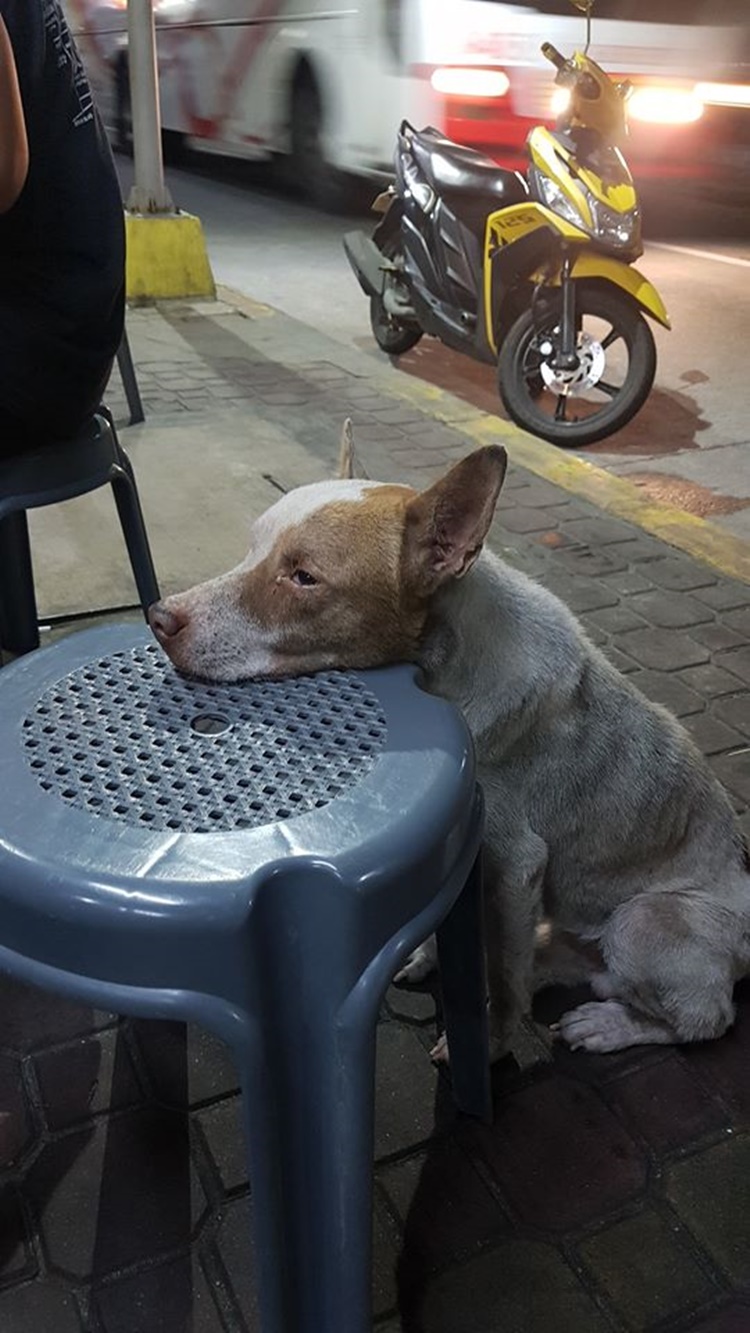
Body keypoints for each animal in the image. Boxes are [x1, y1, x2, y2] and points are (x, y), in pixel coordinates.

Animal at [149, 431, 750, 1055]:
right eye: (252, 549)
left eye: (304, 577)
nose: (159, 617)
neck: (443, 666)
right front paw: (427, 955)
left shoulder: (516, 866)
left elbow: (503, 983)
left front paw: (491, 1047)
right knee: (565, 965)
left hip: (645, 921)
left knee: (705, 1018)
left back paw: (608, 1026)